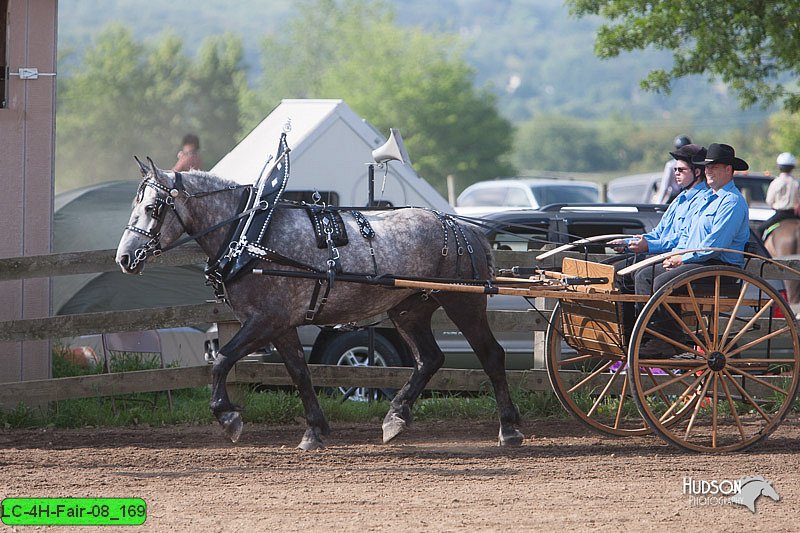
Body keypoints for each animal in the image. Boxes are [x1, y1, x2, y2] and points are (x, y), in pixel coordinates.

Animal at [114, 162, 524, 448]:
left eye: (153, 208)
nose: (124, 258)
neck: (250, 237)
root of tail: (464, 228)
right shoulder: (282, 325)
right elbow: (299, 372)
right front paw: (315, 430)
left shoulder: (264, 320)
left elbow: (222, 360)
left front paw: (228, 418)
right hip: (409, 309)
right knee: (429, 359)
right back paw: (395, 418)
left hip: (462, 302)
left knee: (491, 356)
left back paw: (509, 428)